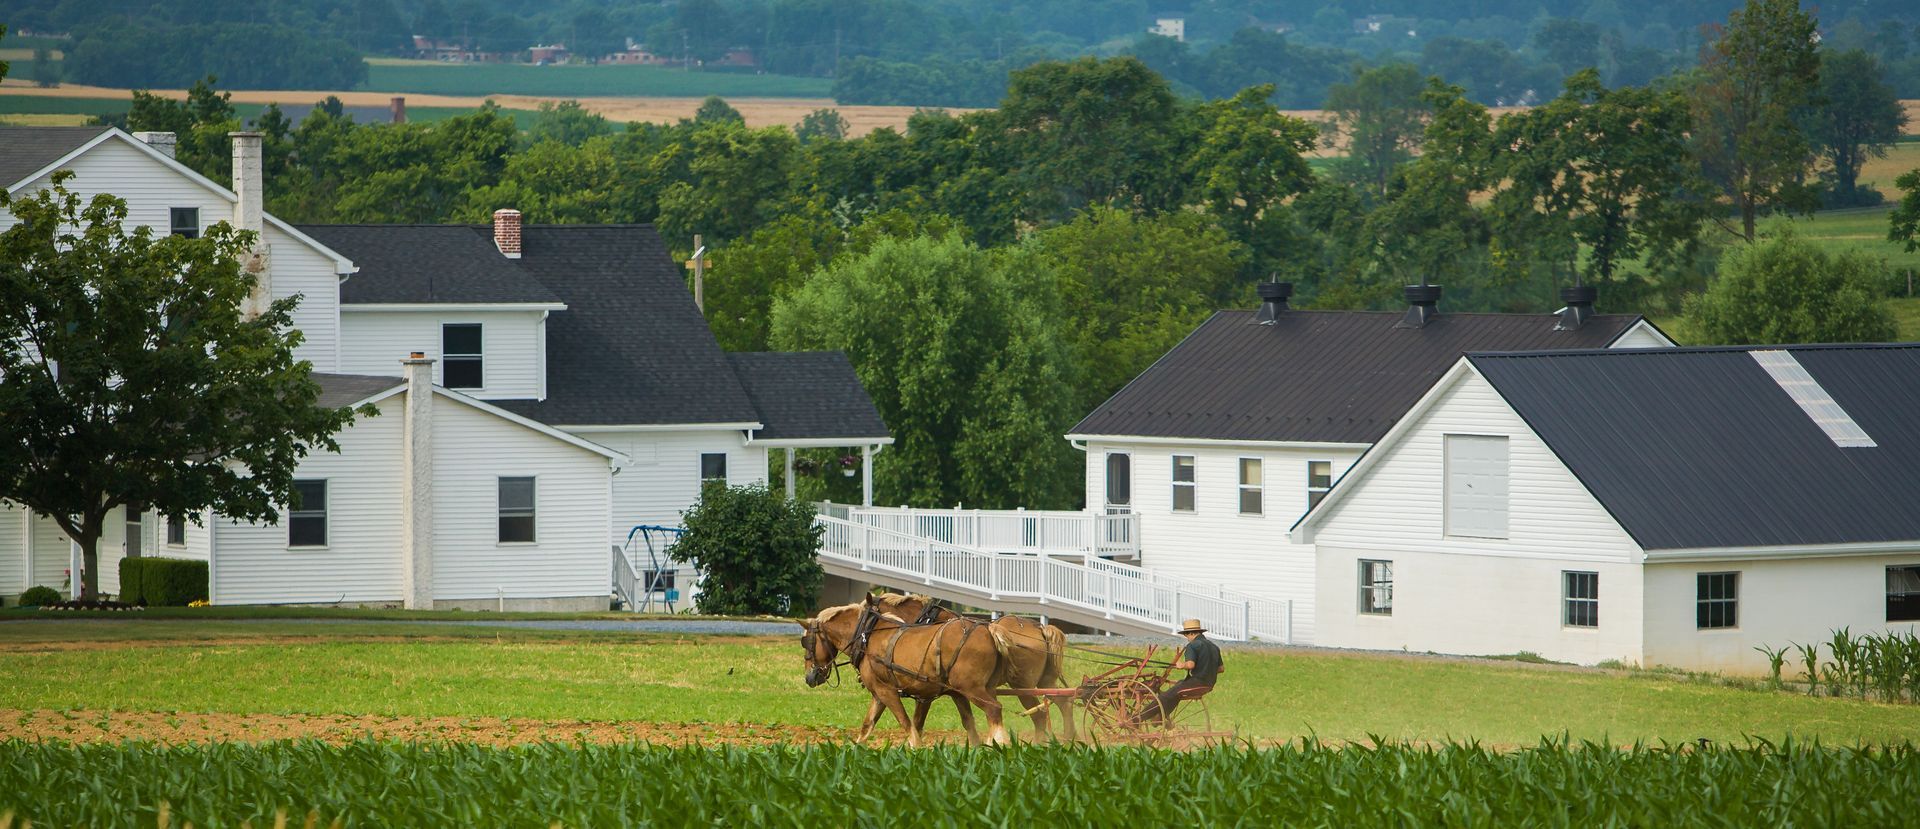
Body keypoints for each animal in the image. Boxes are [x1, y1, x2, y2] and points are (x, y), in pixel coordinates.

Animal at [800, 597, 1013, 747]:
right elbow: (867, 726)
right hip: (974, 689)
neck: (867, 636)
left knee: (994, 709)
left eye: (807, 643)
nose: (809, 677)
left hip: (972, 689)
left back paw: (1001, 746)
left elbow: (907, 724)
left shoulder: (889, 691)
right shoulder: (879, 694)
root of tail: (990, 629)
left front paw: (915, 749)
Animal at [868, 593, 1076, 742]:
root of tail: (1041, 628)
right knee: (1064, 703)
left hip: (1023, 685)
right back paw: (1070, 738)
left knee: (1040, 715)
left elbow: (918, 721)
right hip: (1045, 681)